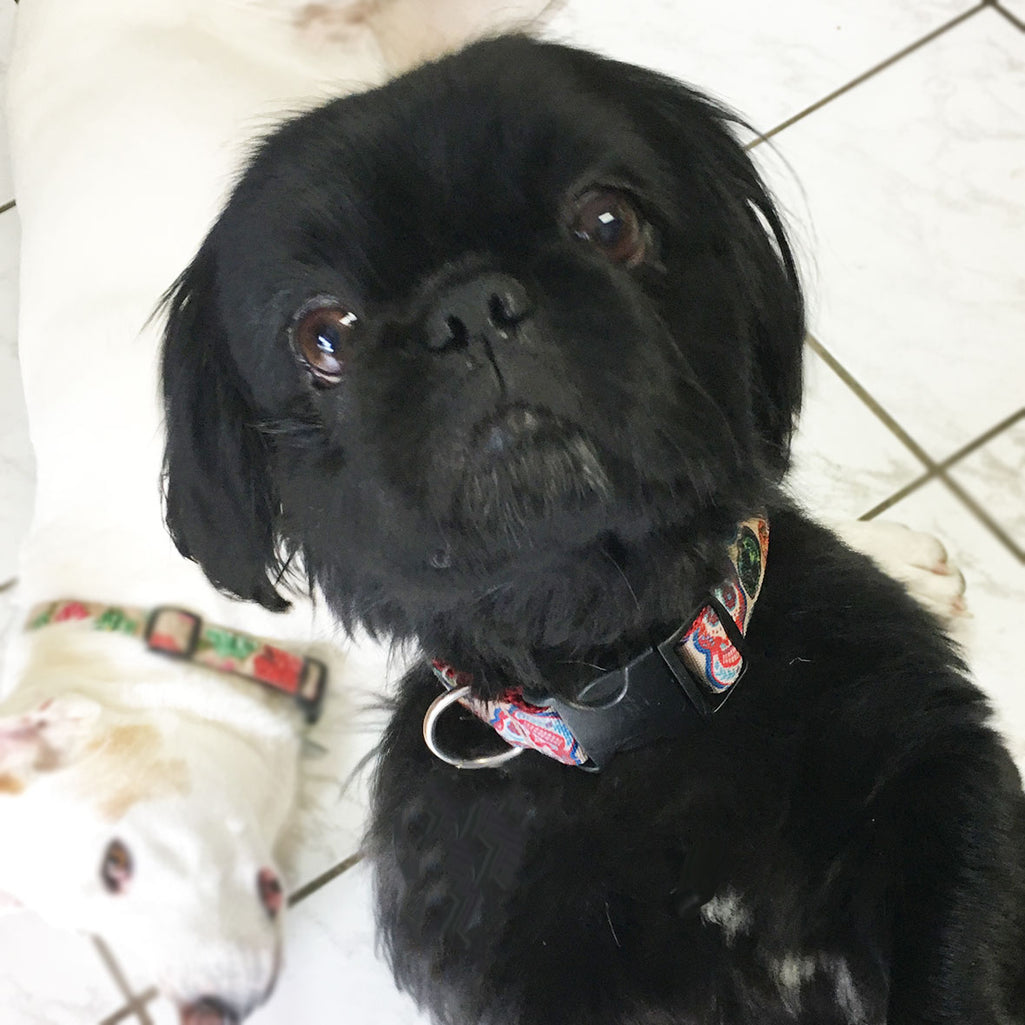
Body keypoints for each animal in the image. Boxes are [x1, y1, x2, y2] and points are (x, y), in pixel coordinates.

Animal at [157, 33, 1020, 1025]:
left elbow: (952, 969)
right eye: (323, 336)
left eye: (608, 222)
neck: (632, 691)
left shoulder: (939, 779)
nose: (470, 307)